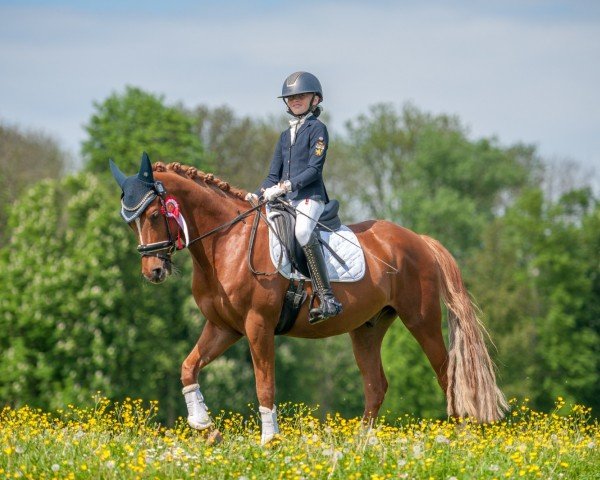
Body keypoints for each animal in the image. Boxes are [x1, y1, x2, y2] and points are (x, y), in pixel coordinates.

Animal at [109, 156, 506, 444]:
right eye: (130, 222)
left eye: (155, 214)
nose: (153, 271)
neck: (226, 242)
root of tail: (418, 239)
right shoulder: (223, 327)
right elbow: (188, 367)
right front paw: (205, 426)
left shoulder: (257, 325)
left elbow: (264, 383)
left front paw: (270, 441)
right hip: (367, 328)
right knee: (376, 385)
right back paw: (360, 446)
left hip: (420, 319)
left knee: (446, 374)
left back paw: (461, 438)